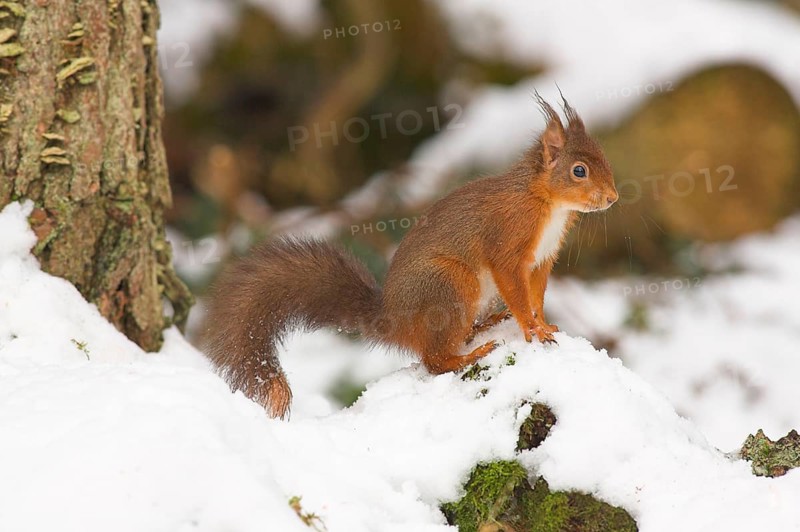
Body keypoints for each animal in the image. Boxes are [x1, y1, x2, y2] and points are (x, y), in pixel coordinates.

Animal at [202, 94, 618, 419]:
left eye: (604, 159)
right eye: (579, 171)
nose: (613, 198)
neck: (546, 203)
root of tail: (395, 320)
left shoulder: (542, 260)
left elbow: (537, 295)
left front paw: (544, 325)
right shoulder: (506, 245)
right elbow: (516, 291)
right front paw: (532, 329)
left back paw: (483, 326)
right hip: (451, 283)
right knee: (434, 362)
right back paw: (469, 354)